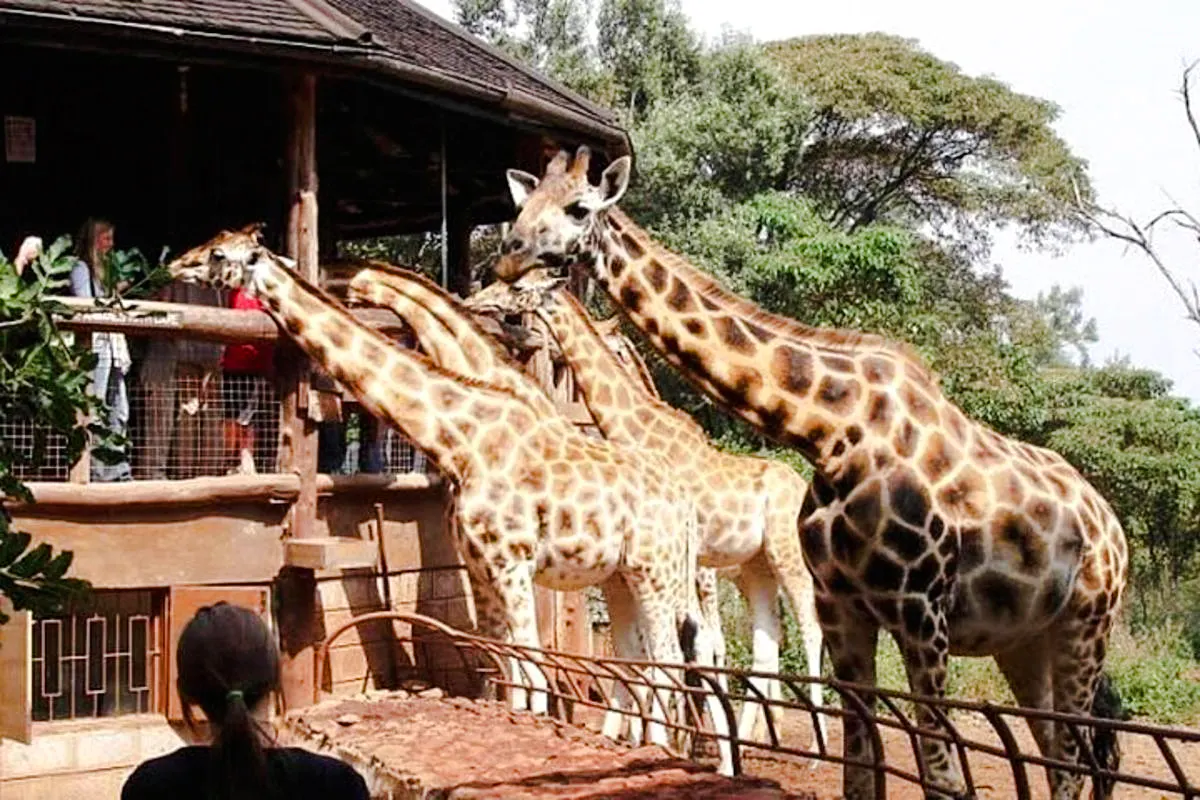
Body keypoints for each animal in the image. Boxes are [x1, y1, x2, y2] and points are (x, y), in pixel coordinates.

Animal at [165, 226, 708, 749]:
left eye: (218, 254)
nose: (173, 265)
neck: (459, 440)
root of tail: (681, 500)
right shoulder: (481, 565)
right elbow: (504, 666)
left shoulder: (513, 562)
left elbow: (532, 670)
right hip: (621, 575)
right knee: (649, 659)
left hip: (656, 572)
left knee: (674, 658)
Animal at [465, 271, 826, 751]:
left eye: (518, 289)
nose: (475, 300)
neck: (640, 431)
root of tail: (803, 488)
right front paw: (657, 734)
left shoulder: (688, 559)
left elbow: (689, 644)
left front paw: (671, 736)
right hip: (755, 567)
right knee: (766, 647)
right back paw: (754, 738)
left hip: (788, 557)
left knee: (810, 629)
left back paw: (815, 747)